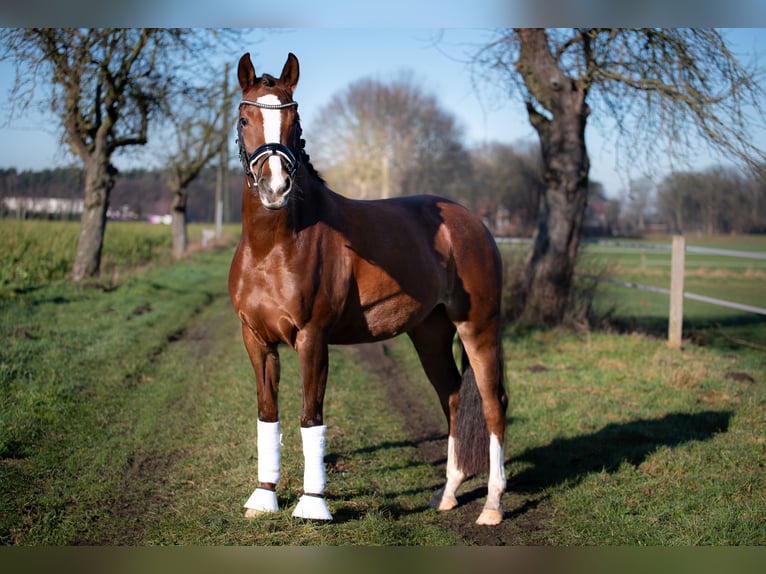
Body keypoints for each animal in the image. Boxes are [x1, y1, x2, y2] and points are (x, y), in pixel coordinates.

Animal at [228, 53, 510, 528]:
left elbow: (310, 416)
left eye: (294, 121)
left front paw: (313, 505)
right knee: (453, 398)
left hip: (478, 328)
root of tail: (471, 222)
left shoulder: (312, 339)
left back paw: (491, 506)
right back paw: (448, 495)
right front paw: (262, 498)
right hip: (430, 334)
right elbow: (268, 414)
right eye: (245, 118)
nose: (275, 187)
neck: (275, 248)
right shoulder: (256, 341)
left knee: (493, 404)